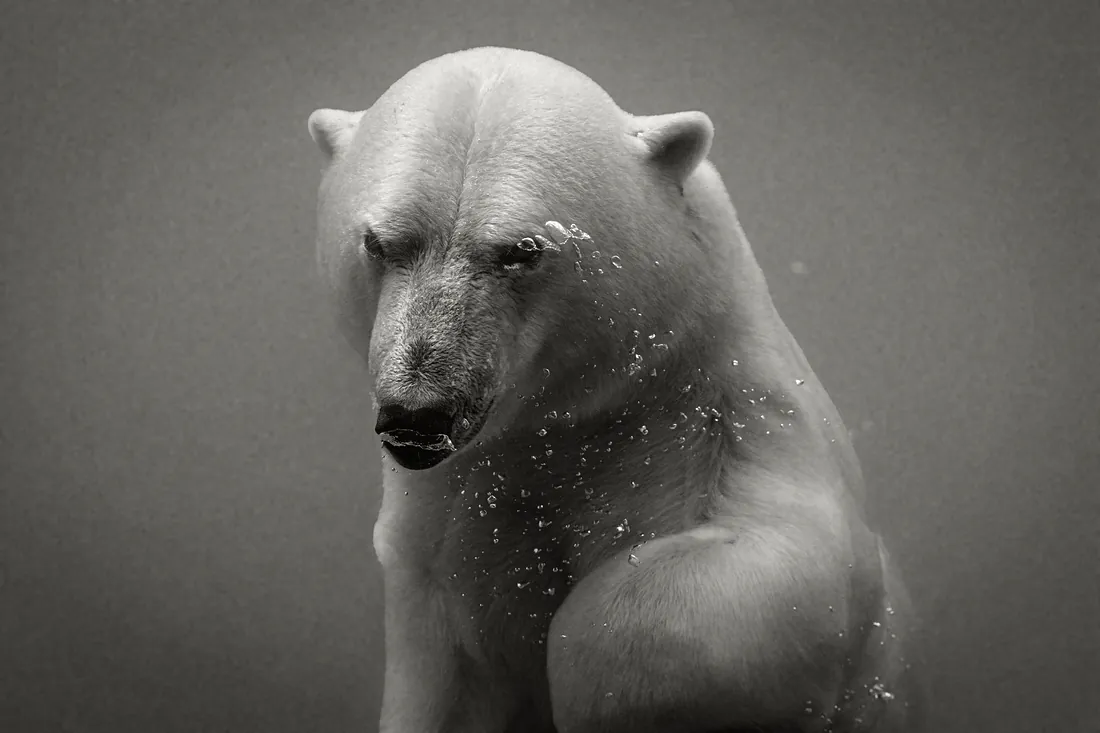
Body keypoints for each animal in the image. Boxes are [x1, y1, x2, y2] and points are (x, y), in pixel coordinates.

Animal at [306, 47, 925, 733]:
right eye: (379, 242)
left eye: (522, 250)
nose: (418, 413)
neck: (586, 415)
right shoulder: (448, 515)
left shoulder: (740, 427)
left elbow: (727, 590)